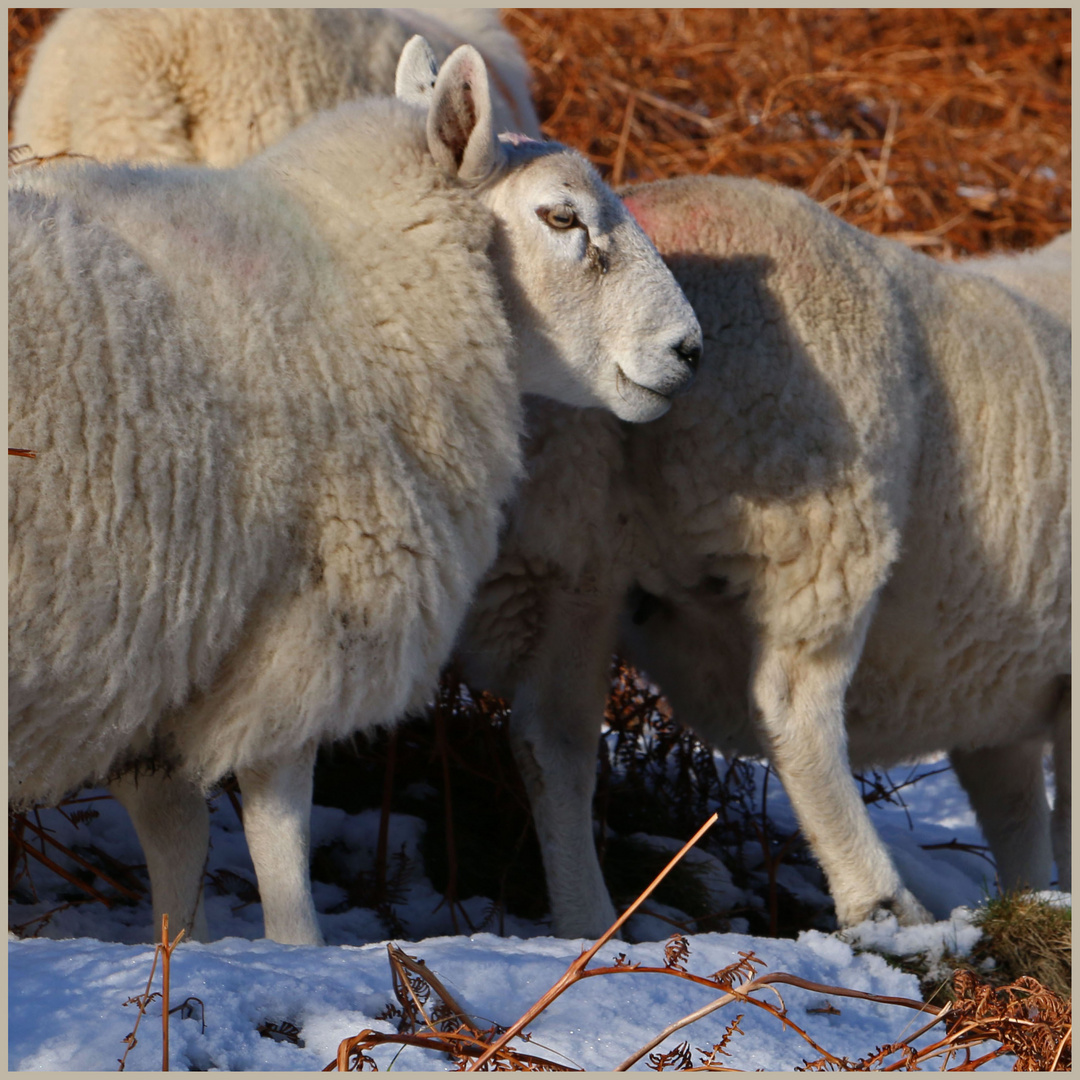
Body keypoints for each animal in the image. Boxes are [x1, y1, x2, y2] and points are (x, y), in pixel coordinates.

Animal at [8, 42, 704, 941]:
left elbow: (175, 831)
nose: (690, 349)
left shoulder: (161, 644)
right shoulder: (303, 619)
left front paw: (182, 946)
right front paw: (295, 947)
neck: (368, 287)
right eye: (562, 219)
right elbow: (275, 818)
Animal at [457, 174, 1071, 937]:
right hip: (817, 523)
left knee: (553, 736)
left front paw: (1033, 905)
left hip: (568, 535)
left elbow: (1019, 823)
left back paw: (587, 920)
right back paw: (880, 899)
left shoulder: (1000, 706)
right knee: (793, 708)